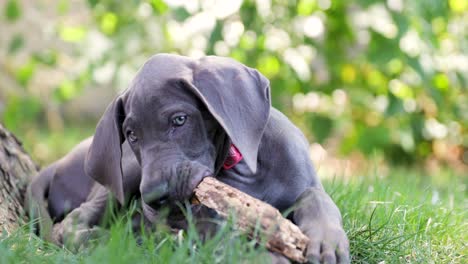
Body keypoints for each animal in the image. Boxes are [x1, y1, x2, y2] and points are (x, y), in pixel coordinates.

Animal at [25, 53, 348, 262]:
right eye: (131, 135)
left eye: (180, 120)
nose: (153, 197)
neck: (243, 167)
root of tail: (59, 162)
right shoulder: (206, 222)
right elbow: (226, 235)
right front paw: (265, 255)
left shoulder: (307, 183)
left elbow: (318, 200)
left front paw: (325, 241)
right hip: (124, 174)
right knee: (70, 223)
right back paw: (110, 241)